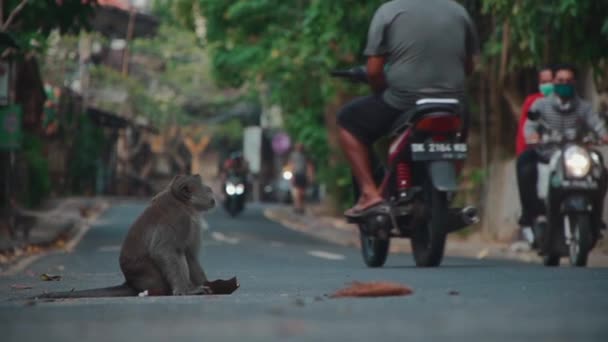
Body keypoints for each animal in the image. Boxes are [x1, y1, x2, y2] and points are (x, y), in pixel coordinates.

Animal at [36, 175, 239, 298]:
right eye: (201, 184)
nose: (210, 188)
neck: (183, 203)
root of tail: (132, 283)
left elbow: (190, 255)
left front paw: (209, 284)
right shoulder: (181, 220)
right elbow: (164, 251)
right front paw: (185, 291)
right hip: (152, 279)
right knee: (174, 255)